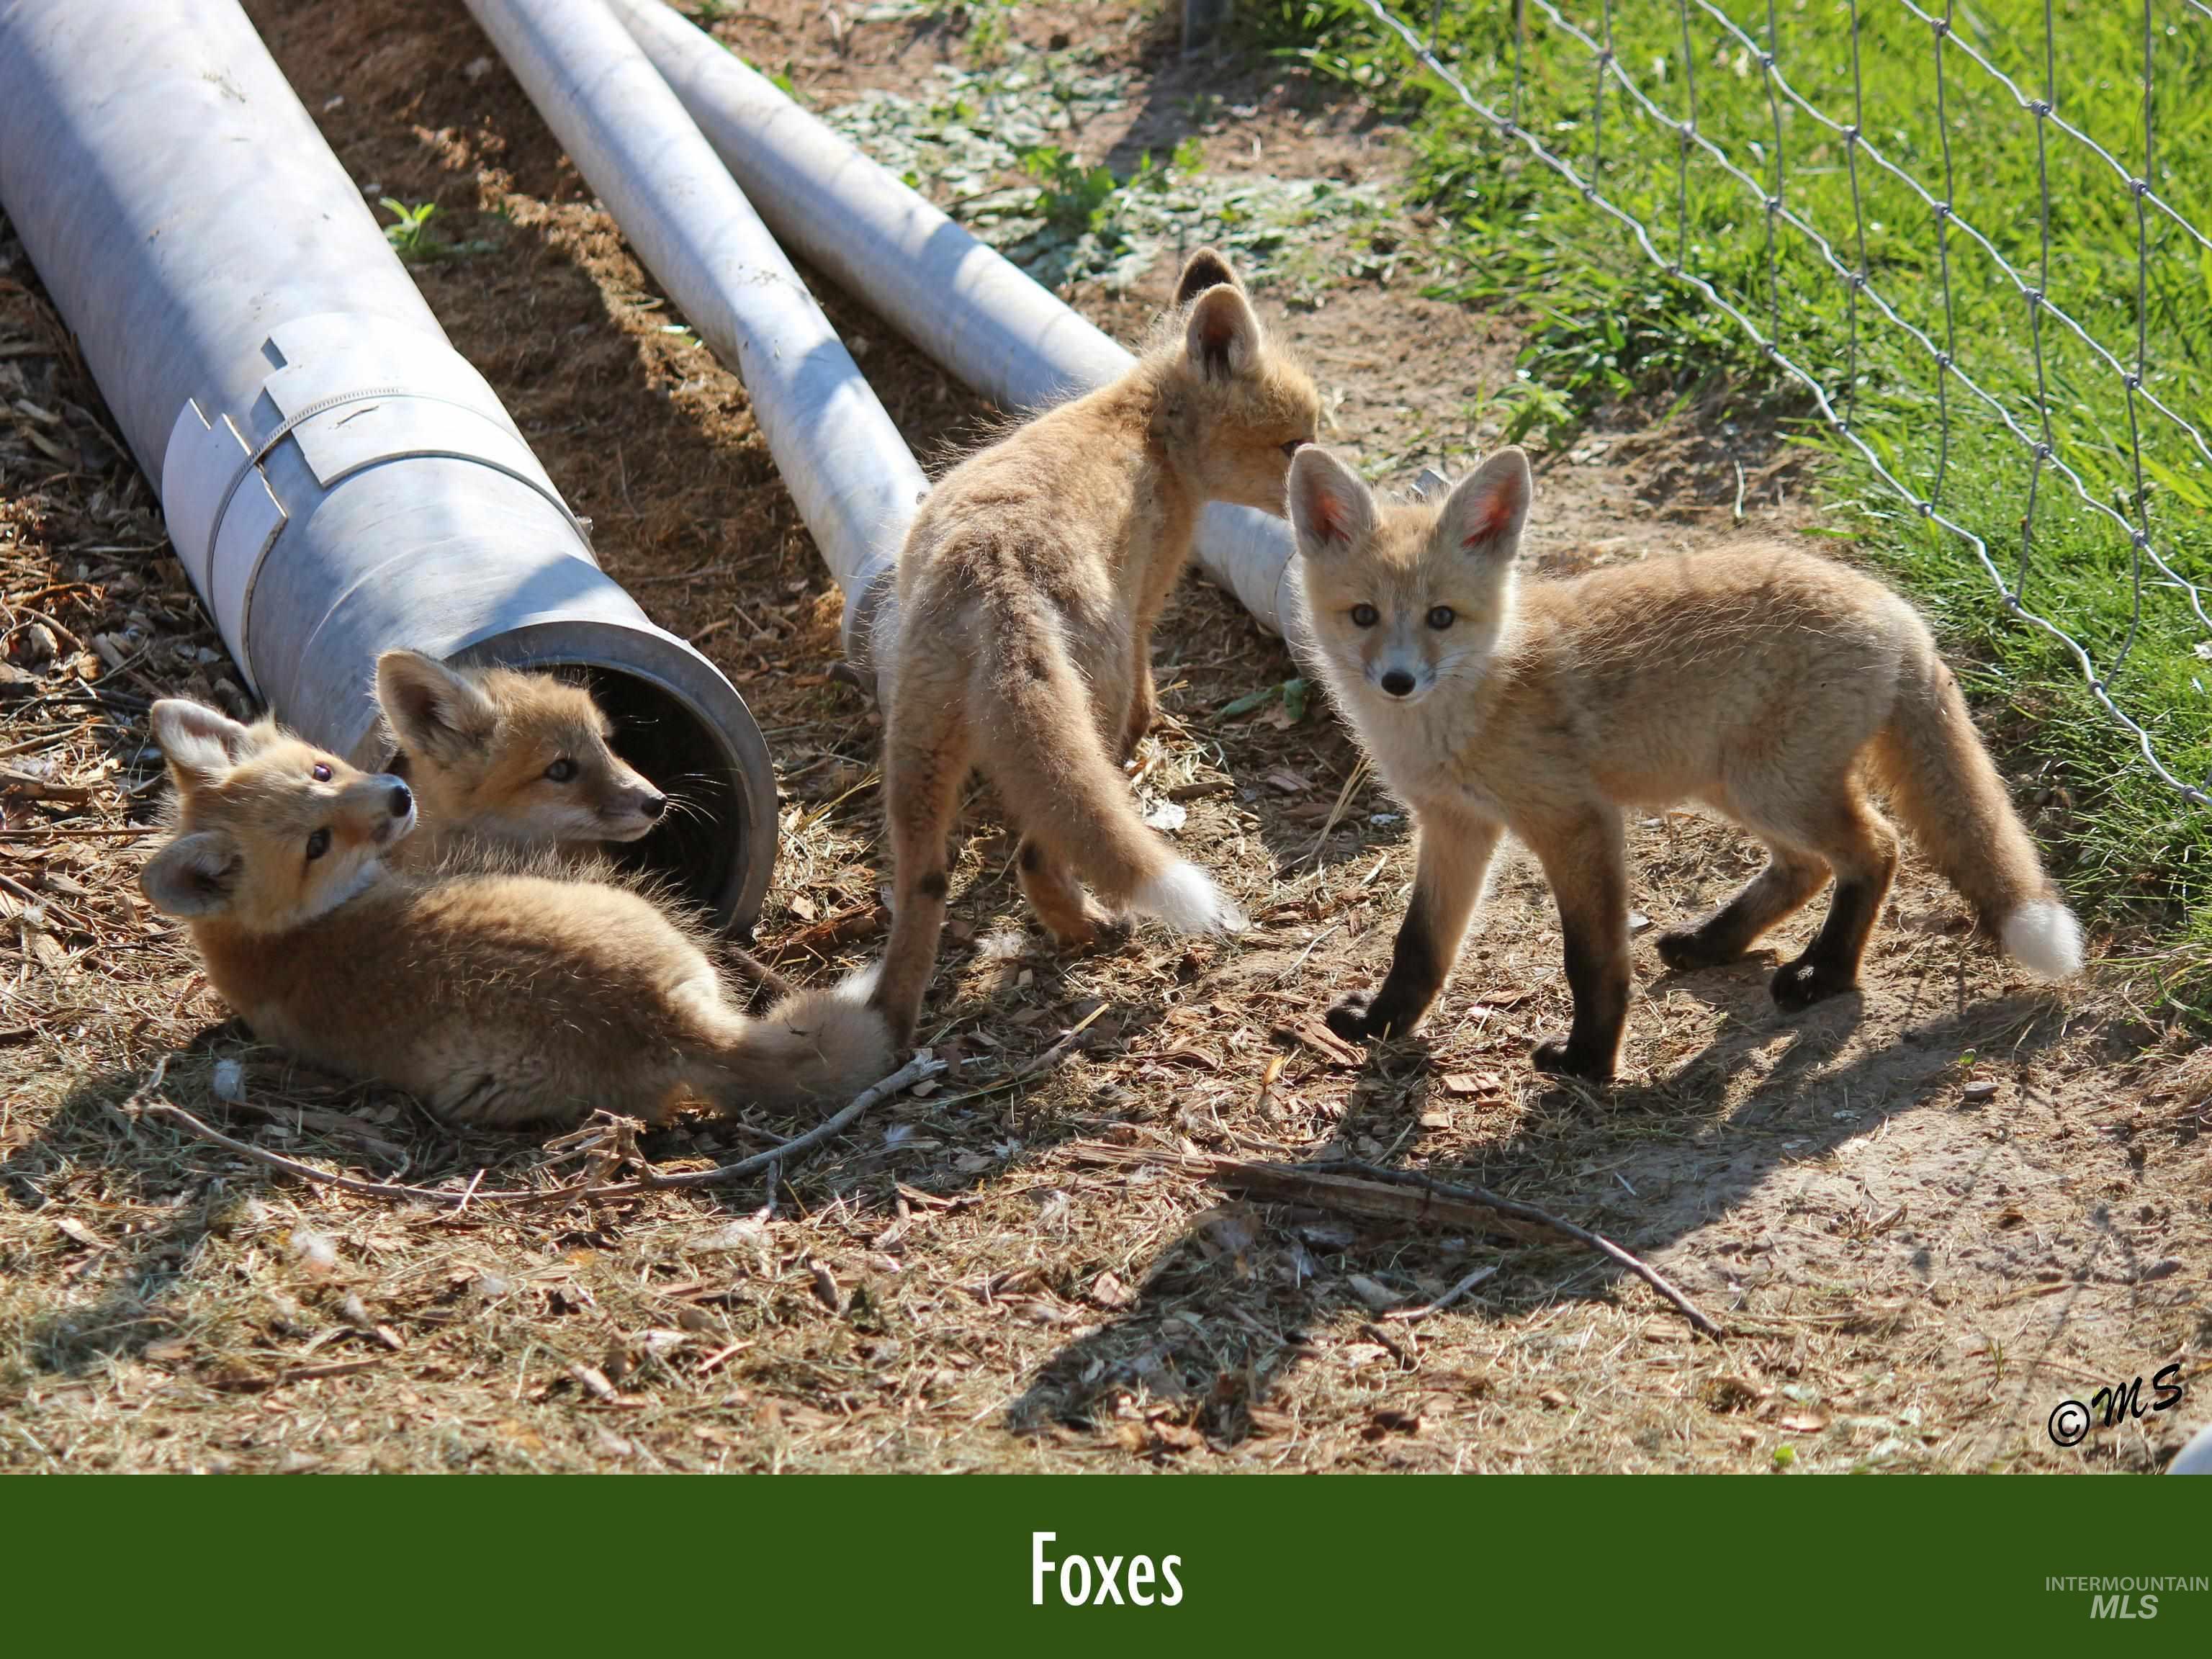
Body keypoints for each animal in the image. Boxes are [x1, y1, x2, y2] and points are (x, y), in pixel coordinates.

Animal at [869, 247, 1321, 1046]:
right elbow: (1148, 677)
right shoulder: (1144, 598)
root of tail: (993, 570)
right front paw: (1152, 729)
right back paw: (1093, 930)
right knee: (1038, 854)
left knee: (927, 882)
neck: (1142, 422)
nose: (1338, 490)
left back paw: (889, 1024)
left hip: (916, 759)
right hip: (1087, 694)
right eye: (1294, 442)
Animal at [1286, 442, 2082, 1085]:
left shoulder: (1576, 822)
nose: (1397, 681)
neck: (1476, 700)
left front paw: (1588, 1064)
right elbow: (1420, 943)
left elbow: (1593, 959)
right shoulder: (1455, 824)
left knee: (1877, 850)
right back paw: (1715, 942)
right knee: (1809, 867)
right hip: (1734, 786)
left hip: (1773, 789)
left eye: (1441, 618)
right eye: (1364, 616)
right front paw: (1383, 1025)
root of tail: (1896, 607)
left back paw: (1826, 974)